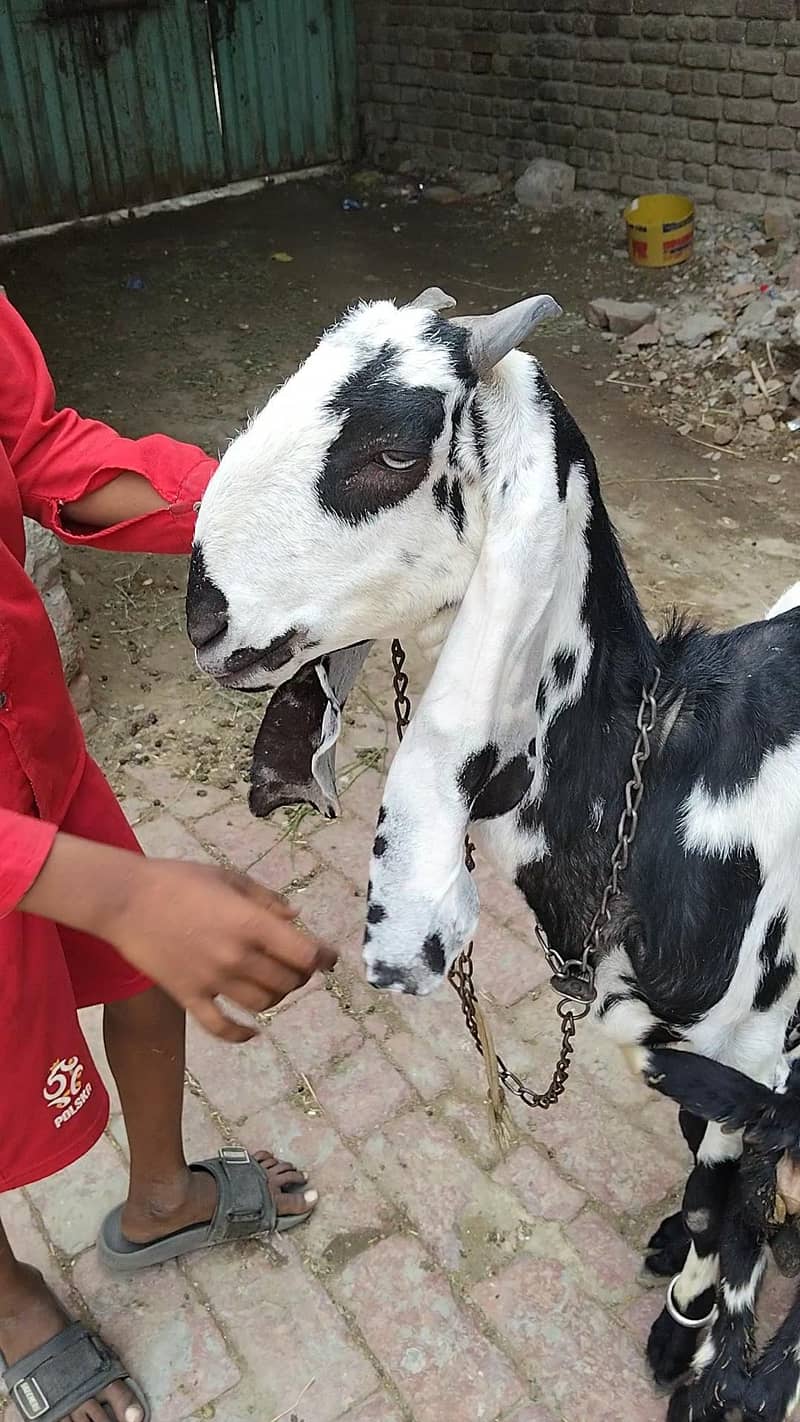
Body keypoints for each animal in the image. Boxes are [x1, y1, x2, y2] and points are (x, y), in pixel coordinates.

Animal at [187, 289, 800, 1420]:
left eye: (392, 449)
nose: (202, 617)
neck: (670, 778)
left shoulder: (760, 1057)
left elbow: (723, 1207)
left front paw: (692, 1345)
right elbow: (706, 1177)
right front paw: (686, 1307)